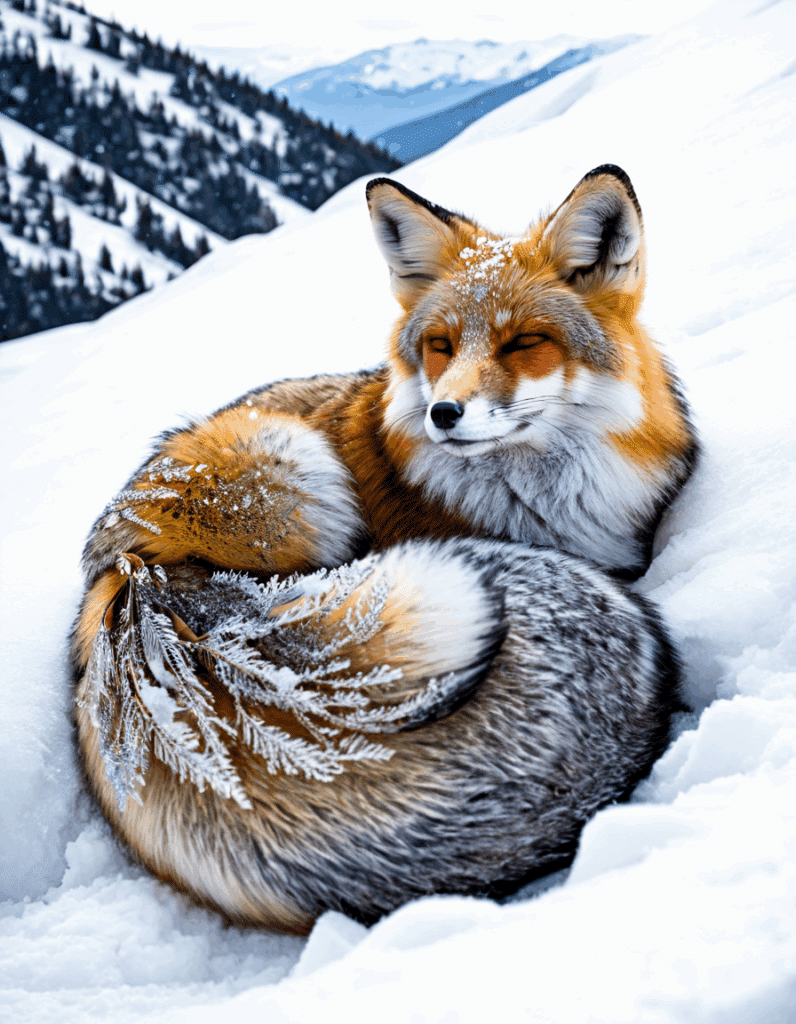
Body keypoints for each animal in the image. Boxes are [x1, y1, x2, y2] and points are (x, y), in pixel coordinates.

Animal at [72, 165, 696, 934]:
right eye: (441, 346)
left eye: (524, 343)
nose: (443, 413)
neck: (547, 501)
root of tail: (130, 583)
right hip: (297, 470)